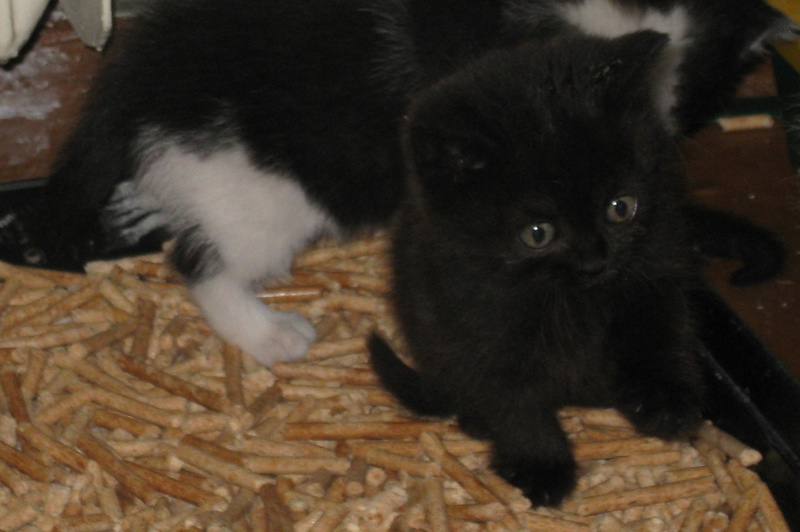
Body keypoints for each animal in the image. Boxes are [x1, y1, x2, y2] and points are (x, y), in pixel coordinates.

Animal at [368, 30, 708, 507]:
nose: (595, 261)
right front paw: (541, 465)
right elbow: (513, 398)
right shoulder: (470, 321)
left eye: (621, 207)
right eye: (537, 233)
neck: (570, 299)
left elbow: (662, 331)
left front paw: (667, 401)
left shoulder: (658, 264)